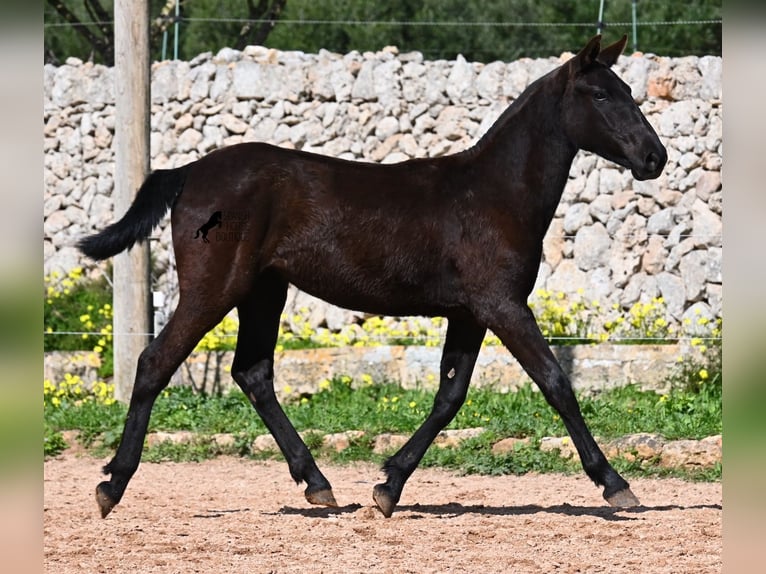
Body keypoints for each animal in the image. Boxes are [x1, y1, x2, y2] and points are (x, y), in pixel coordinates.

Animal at [78, 37, 664, 520]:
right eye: (600, 94)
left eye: (629, 91)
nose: (654, 157)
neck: (492, 194)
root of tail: (187, 174)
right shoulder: (502, 305)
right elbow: (556, 382)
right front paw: (615, 484)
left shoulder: (469, 314)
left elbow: (450, 396)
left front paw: (388, 487)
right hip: (214, 288)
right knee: (156, 363)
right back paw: (111, 486)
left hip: (264, 291)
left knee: (252, 373)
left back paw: (317, 484)